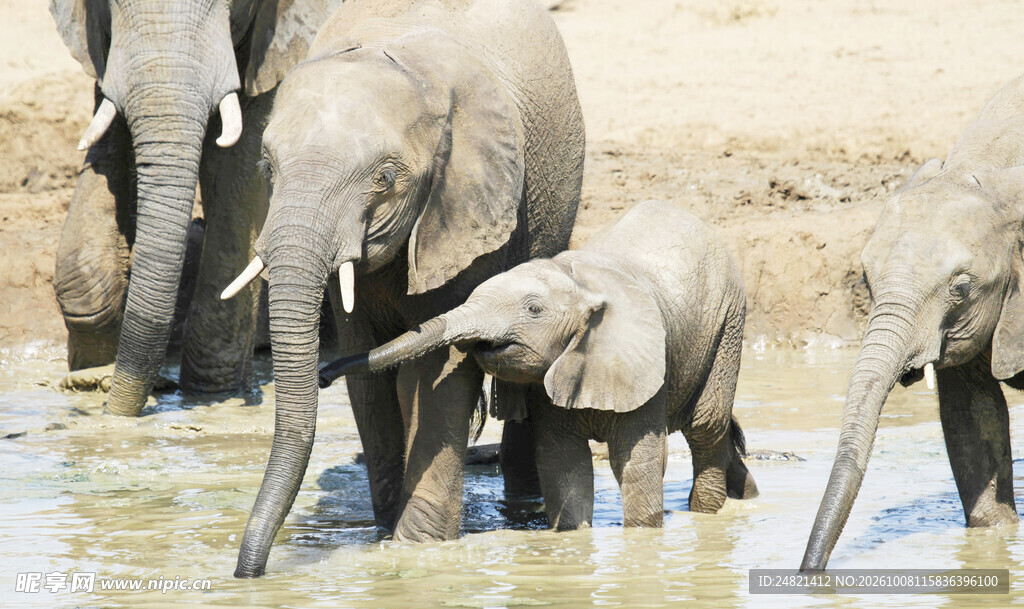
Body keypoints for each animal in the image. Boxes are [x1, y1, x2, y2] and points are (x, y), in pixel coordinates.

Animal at [49, 0, 341, 416]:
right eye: (108, 5)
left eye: (232, 6)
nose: (115, 410)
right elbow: (108, 142)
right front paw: (89, 378)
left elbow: (236, 172)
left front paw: (212, 395)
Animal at [227, 0, 585, 578]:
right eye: (266, 166)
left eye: (386, 180)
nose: (247, 575)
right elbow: (367, 369)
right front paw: (385, 531)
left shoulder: (465, 201)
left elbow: (437, 368)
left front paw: (416, 548)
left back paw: (524, 508)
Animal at [319, 201, 759, 531]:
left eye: (533, 310)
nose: (323, 376)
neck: (579, 283)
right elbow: (564, 465)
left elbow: (638, 464)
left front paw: (643, 540)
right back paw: (748, 496)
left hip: (728, 321)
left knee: (705, 427)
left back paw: (707, 513)